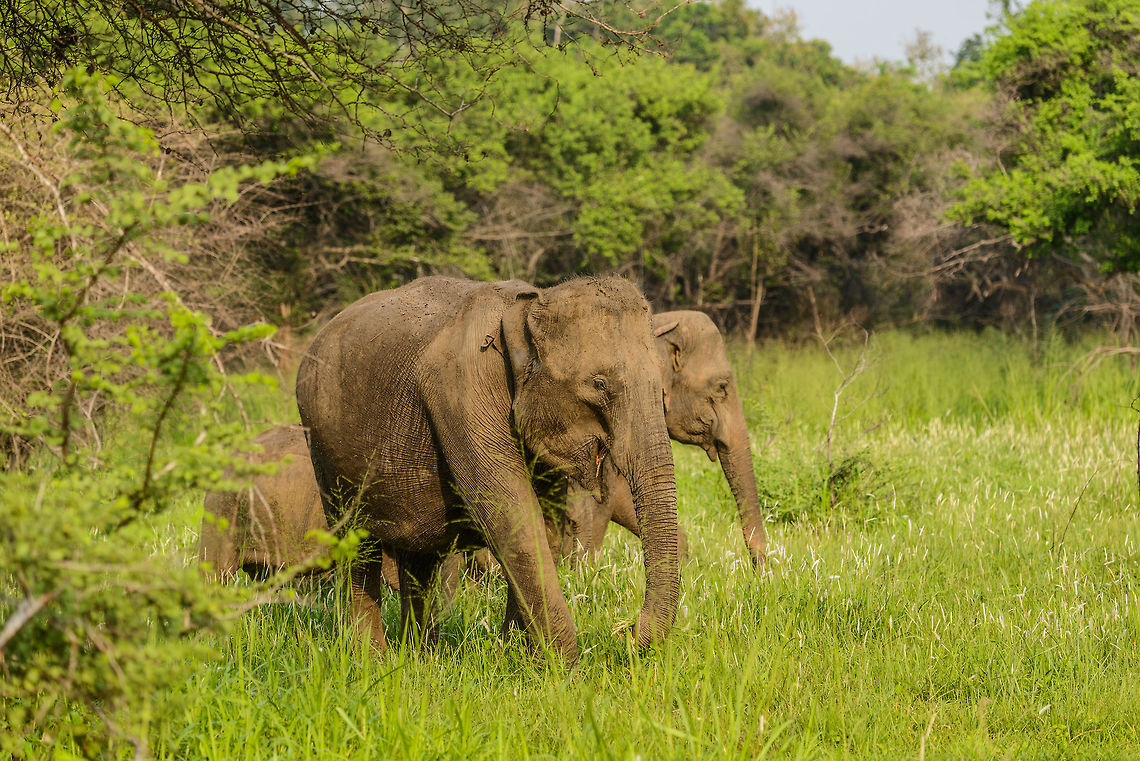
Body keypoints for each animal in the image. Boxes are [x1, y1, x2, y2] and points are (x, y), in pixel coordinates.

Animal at [295, 276, 680, 662]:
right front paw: (565, 668)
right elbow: (512, 518)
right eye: (599, 385)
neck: (527, 307)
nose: (628, 633)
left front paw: (518, 658)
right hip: (325, 451)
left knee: (418, 559)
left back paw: (420, 658)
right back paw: (372, 658)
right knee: (357, 547)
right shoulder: (465, 397)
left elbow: (544, 525)